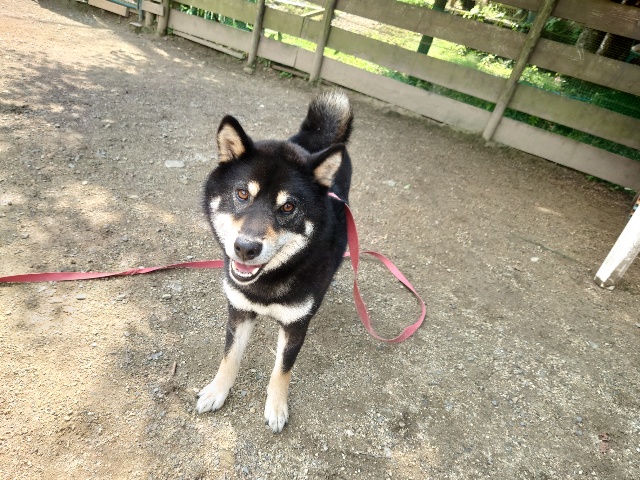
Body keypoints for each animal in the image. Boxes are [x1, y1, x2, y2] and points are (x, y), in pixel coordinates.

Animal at [196, 91, 354, 432]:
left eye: (288, 207)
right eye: (242, 193)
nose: (245, 248)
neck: (267, 283)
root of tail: (320, 138)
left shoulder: (296, 325)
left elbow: (282, 370)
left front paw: (277, 407)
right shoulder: (239, 310)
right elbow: (229, 356)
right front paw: (217, 391)